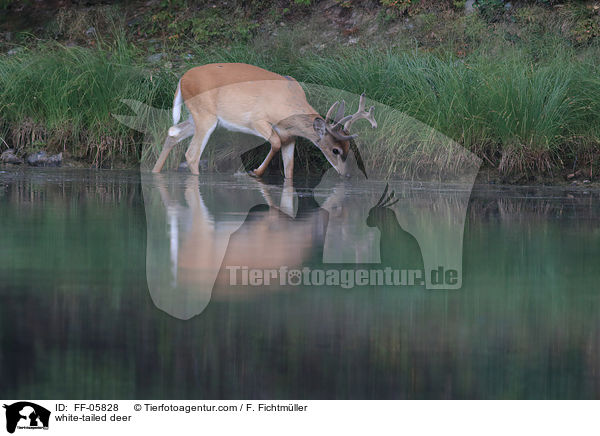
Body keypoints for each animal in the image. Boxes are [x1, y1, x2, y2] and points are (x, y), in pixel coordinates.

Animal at [151, 62, 376, 177]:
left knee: (172, 133)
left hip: (197, 116)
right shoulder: (256, 120)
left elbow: (289, 169)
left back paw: (155, 172)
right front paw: (255, 172)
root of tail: (181, 79)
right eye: (335, 150)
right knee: (191, 154)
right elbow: (274, 142)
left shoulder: (291, 136)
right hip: (205, 115)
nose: (347, 175)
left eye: (349, 148)